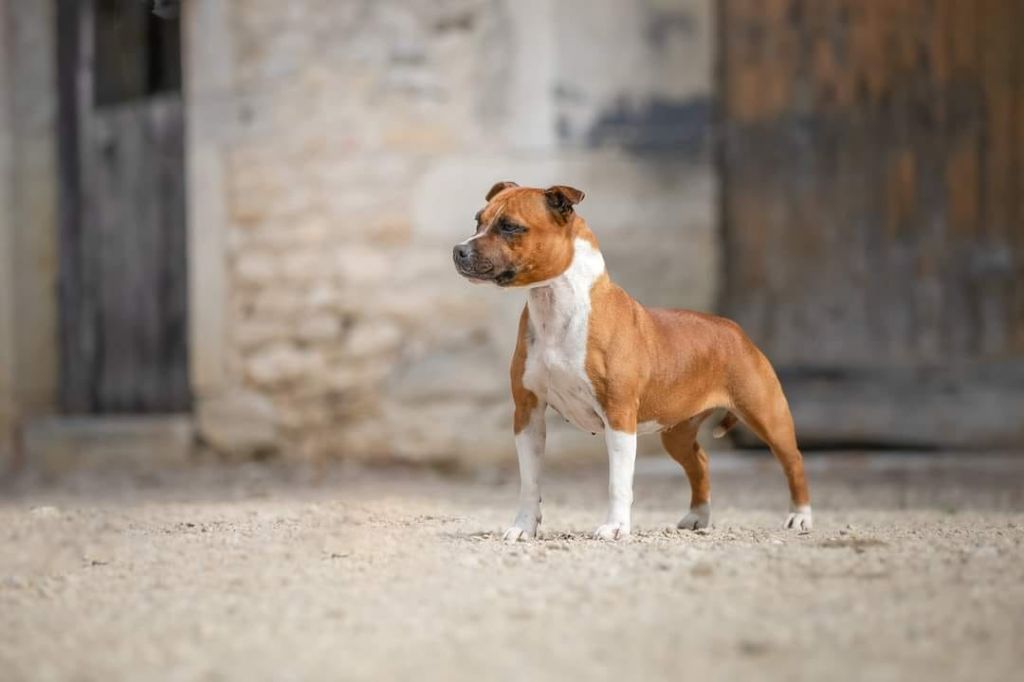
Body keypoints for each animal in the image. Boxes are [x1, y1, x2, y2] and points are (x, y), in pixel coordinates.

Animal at [452, 182, 811, 540]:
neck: (555, 305)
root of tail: (734, 329)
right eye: (478, 220)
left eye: (510, 226)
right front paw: (523, 527)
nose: (459, 250)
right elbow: (530, 481)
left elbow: (618, 483)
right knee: (700, 461)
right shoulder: (528, 413)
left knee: (792, 460)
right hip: (677, 432)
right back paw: (698, 517)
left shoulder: (619, 416)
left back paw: (800, 517)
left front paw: (614, 527)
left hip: (767, 414)